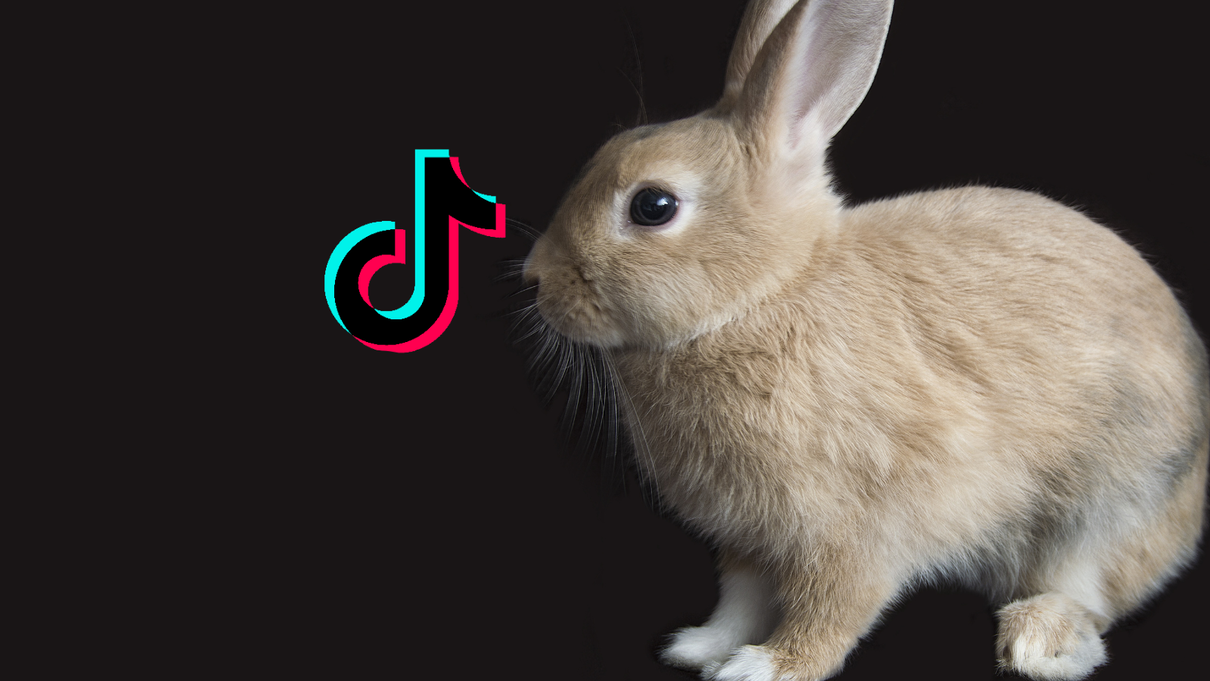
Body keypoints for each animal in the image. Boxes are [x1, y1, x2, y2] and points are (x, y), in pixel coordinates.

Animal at [520, 1, 1209, 679]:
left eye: (653, 206)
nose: (534, 278)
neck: (763, 295)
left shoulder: (858, 530)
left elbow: (833, 607)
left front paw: (767, 666)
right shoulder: (747, 539)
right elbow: (740, 600)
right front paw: (701, 647)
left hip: (1104, 512)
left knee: (1090, 597)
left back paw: (1039, 642)